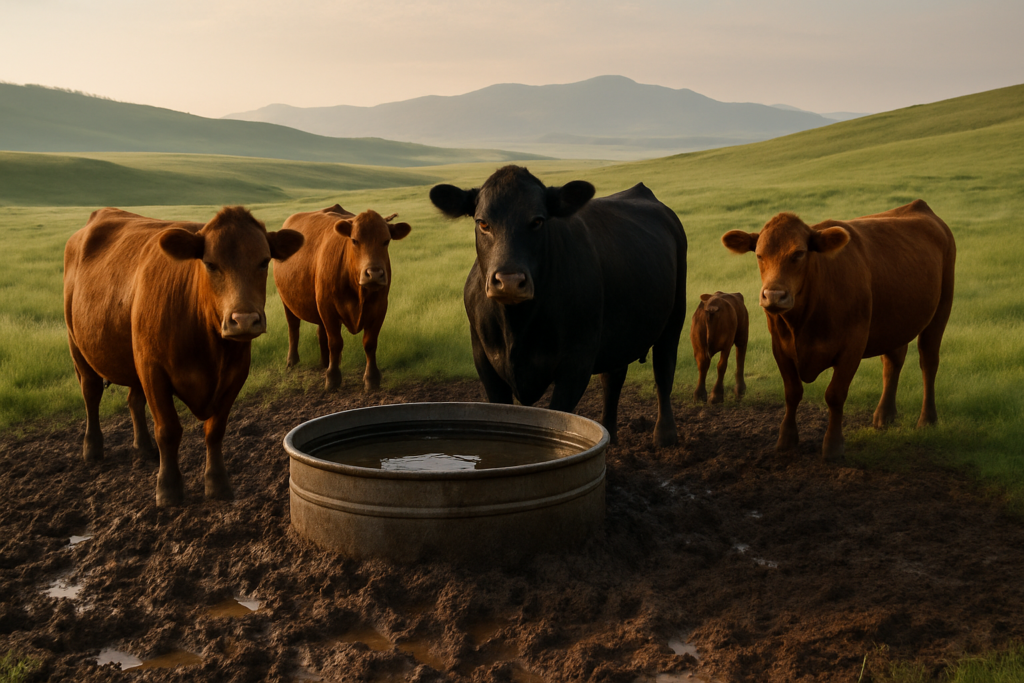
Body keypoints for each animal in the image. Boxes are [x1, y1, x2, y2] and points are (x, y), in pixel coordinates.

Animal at [63, 207, 304, 507]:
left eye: (263, 261)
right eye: (210, 264)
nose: (244, 320)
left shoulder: (236, 373)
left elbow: (215, 430)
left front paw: (217, 484)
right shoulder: (153, 371)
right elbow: (168, 430)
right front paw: (168, 489)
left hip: (134, 358)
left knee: (133, 400)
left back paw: (143, 448)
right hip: (78, 346)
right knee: (91, 393)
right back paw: (93, 449)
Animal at [272, 205, 411, 392]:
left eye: (386, 241)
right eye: (354, 240)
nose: (374, 274)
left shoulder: (380, 307)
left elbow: (370, 343)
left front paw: (372, 378)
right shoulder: (328, 307)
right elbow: (335, 342)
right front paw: (332, 378)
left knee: (320, 332)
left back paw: (325, 362)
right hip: (287, 301)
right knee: (293, 328)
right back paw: (292, 361)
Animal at [429, 165, 688, 446]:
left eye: (537, 221)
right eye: (483, 223)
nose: (509, 282)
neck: (516, 325)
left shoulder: (577, 361)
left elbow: (558, 416)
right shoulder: (484, 359)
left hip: (676, 315)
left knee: (664, 369)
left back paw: (665, 435)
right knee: (614, 378)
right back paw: (610, 435)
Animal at [721, 200, 956, 461]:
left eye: (799, 253)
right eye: (760, 255)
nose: (773, 295)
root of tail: (919, 207)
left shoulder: (852, 346)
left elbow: (834, 395)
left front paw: (833, 446)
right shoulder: (780, 346)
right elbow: (792, 392)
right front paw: (786, 440)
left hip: (941, 309)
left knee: (928, 361)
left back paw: (927, 420)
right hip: (895, 320)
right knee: (893, 362)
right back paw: (884, 415)